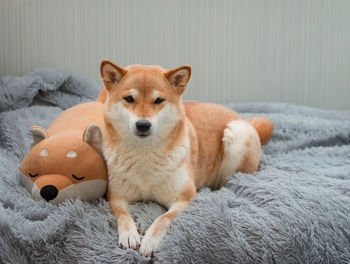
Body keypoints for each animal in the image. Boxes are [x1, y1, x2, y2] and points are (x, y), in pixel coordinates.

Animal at [100, 59, 274, 256]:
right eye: (129, 99)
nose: (143, 124)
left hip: (237, 134)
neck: (144, 155)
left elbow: (163, 218)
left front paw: (150, 240)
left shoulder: (185, 197)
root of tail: (242, 118)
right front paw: (129, 234)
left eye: (158, 100)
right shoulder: (116, 196)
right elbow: (122, 214)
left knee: (226, 182)